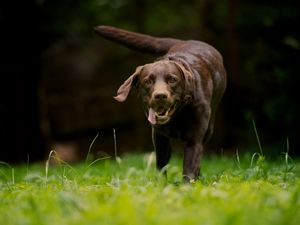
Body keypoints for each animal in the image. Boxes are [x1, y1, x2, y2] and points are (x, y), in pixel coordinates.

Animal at [95, 25, 226, 181]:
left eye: (172, 79)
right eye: (148, 81)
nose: (160, 96)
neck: (177, 116)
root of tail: (185, 41)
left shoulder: (194, 140)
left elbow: (189, 169)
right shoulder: (159, 137)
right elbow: (161, 165)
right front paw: (161, 183)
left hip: (209, 127)